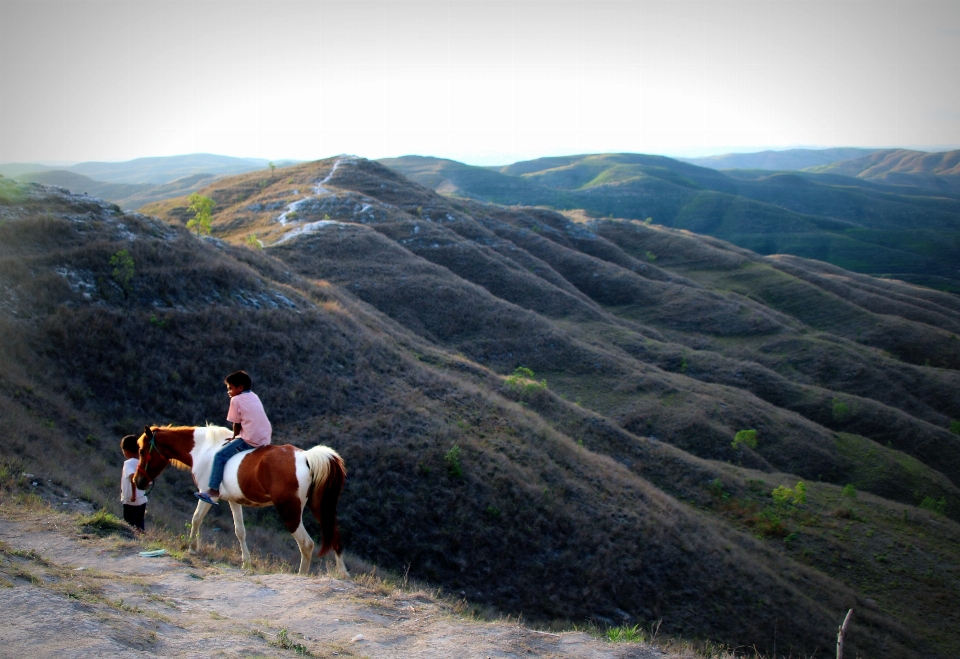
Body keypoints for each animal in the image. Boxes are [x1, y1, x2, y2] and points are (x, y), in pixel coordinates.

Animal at [131, 426, 348, 576]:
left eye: (142, 451)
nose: (138, 481)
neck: (204, 449)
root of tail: (306, 457)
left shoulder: (207, 495)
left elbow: (196, 519)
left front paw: (191, 548)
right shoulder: (233, 501)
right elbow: (240, 531)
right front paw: (246, 562)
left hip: (290, 512)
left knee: (306, 544)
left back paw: (302, 575)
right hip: (319, 507)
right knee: (335, 535)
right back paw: (342, 574)